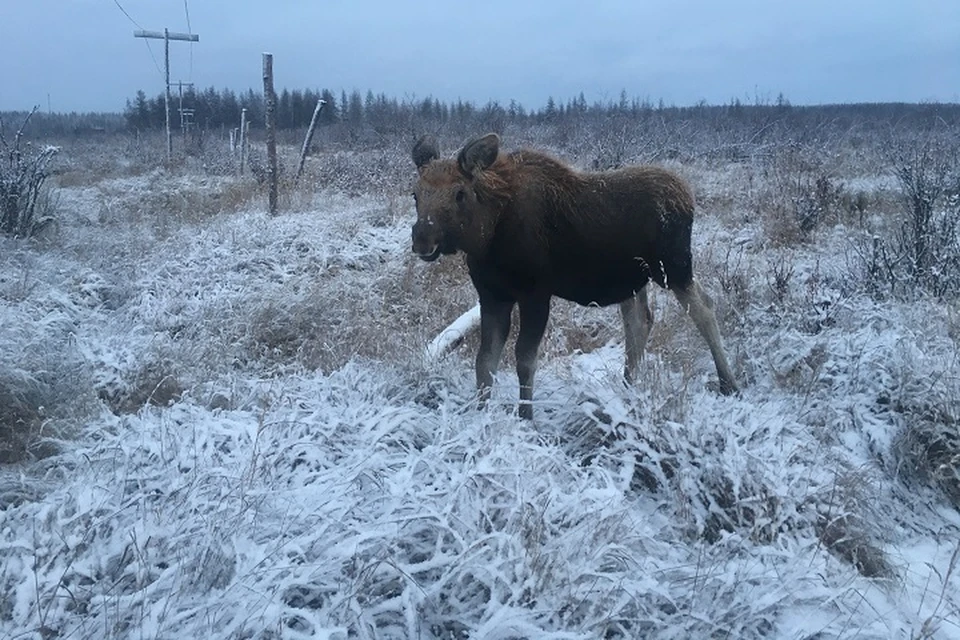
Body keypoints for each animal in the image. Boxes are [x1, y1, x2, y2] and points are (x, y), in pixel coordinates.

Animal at [410, 132, 736, 418]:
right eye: (415, 193)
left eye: (459, 193)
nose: (422, 239)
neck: (487, 235)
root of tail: (688, 195)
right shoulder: (493, 297)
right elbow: (484, 362)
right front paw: (479, 412)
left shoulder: (535, 295)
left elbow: (524, 360)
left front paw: (526, 416)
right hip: (633, 279)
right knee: (640, 322)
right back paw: (628, 385)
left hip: (674, 267)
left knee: (704, 308)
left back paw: (728, 383)